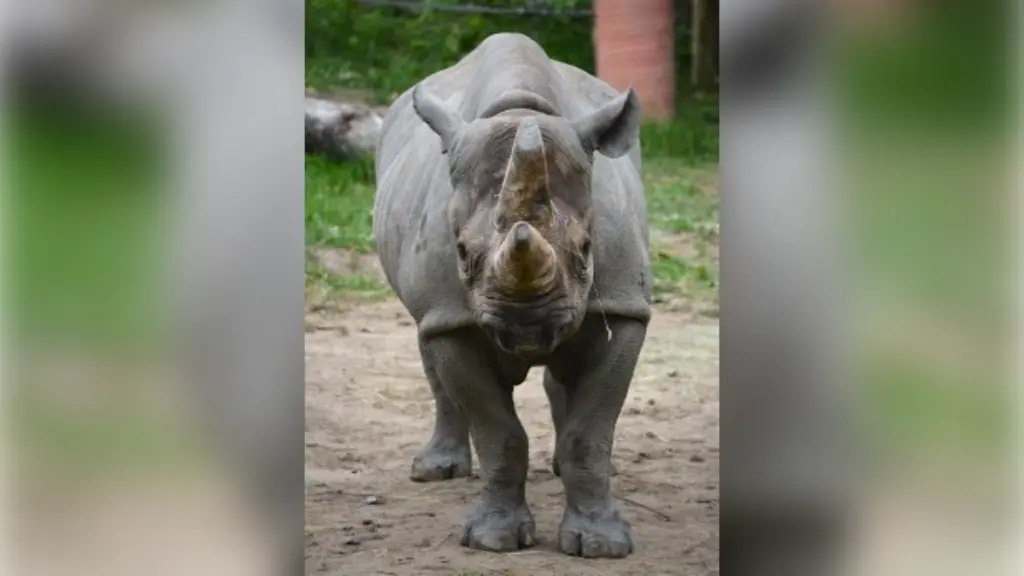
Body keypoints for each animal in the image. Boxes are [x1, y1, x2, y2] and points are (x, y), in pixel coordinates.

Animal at [373, 33, 651, 558]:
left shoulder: (624, 305)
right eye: (461, 251)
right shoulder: (454, 317)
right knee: (425, 340)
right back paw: (436, 471)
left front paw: (601, 545)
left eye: (588, 248)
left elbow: (589, 433)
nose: (528, 327)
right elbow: (498, 432)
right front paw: (492, 540)